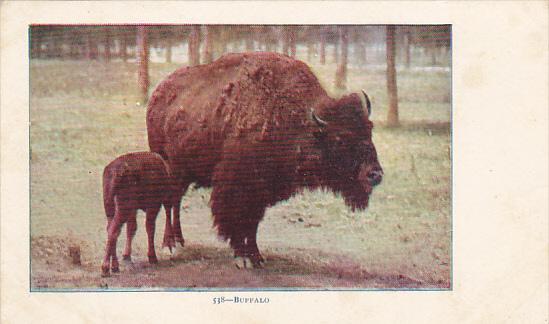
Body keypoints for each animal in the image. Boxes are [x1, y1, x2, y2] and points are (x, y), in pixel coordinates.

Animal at [148, 51, 384, 268]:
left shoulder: (261, 191)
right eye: (341, 139)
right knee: (170, 204)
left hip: (184, 172)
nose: (375, 174)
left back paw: (180, 240)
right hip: (169, 168)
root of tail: (158, 93)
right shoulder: (238, 188)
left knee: (176, 203)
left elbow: (253, 224)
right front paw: (242, 257)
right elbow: (237, 219)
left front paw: (257, 257)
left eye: (369, 130)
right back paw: (169, 245)